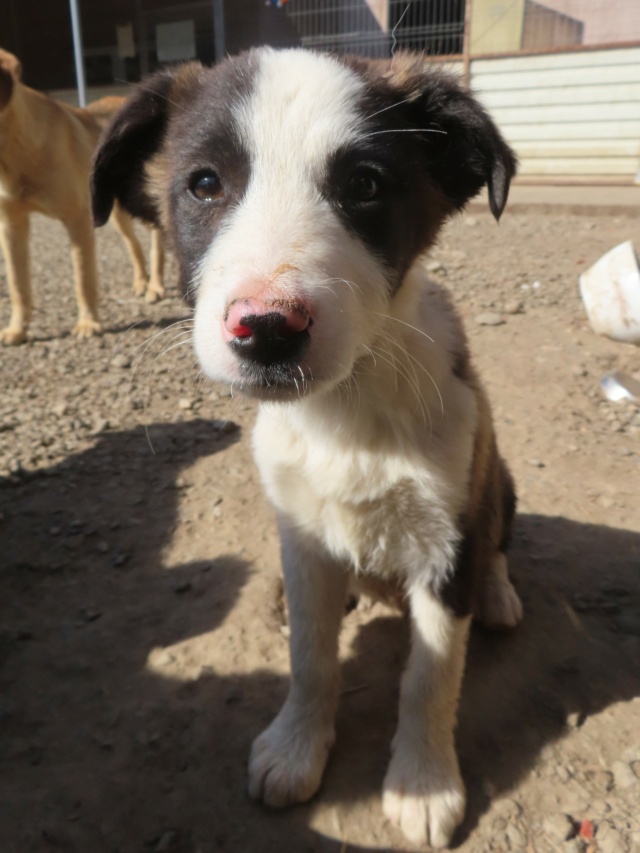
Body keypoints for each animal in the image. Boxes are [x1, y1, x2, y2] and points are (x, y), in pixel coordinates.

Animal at [0, 48, 165, 342]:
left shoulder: (78, 220)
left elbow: (83, 278)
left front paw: (88, 323)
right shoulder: (10, 226)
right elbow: (18, 284)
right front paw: (17, 329)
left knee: (157, 243)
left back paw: (155, 286)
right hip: (116, 214)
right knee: (134, 244)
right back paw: (140, 282)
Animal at [91, 50, 520, 848]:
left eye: (366, 184)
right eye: (204, 183)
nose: (266, 328)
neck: (346, 411)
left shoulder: (446, 541)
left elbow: (430, 676)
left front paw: (422, 782)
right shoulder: (299, 533)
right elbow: (310, 657)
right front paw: (296, 748)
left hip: (497, 481)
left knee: (499, 539)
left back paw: (499, 593)